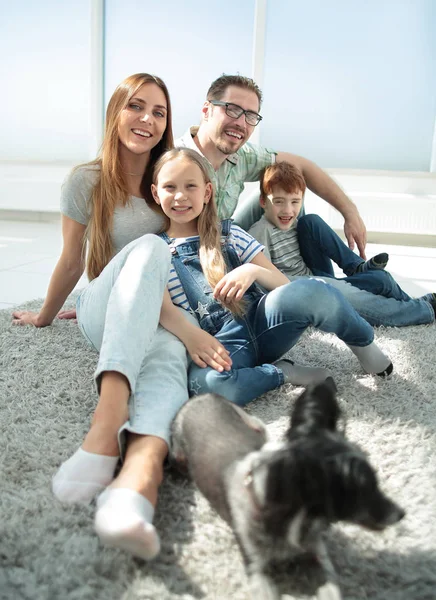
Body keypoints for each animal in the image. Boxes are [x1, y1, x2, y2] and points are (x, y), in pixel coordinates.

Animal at [170, 382, 406, 596]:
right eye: (360, 490)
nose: (401, 513)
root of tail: (200, 397)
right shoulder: (255, 567)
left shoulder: (318, 556)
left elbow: (330, 588)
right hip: (179, 456)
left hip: (256, 425)